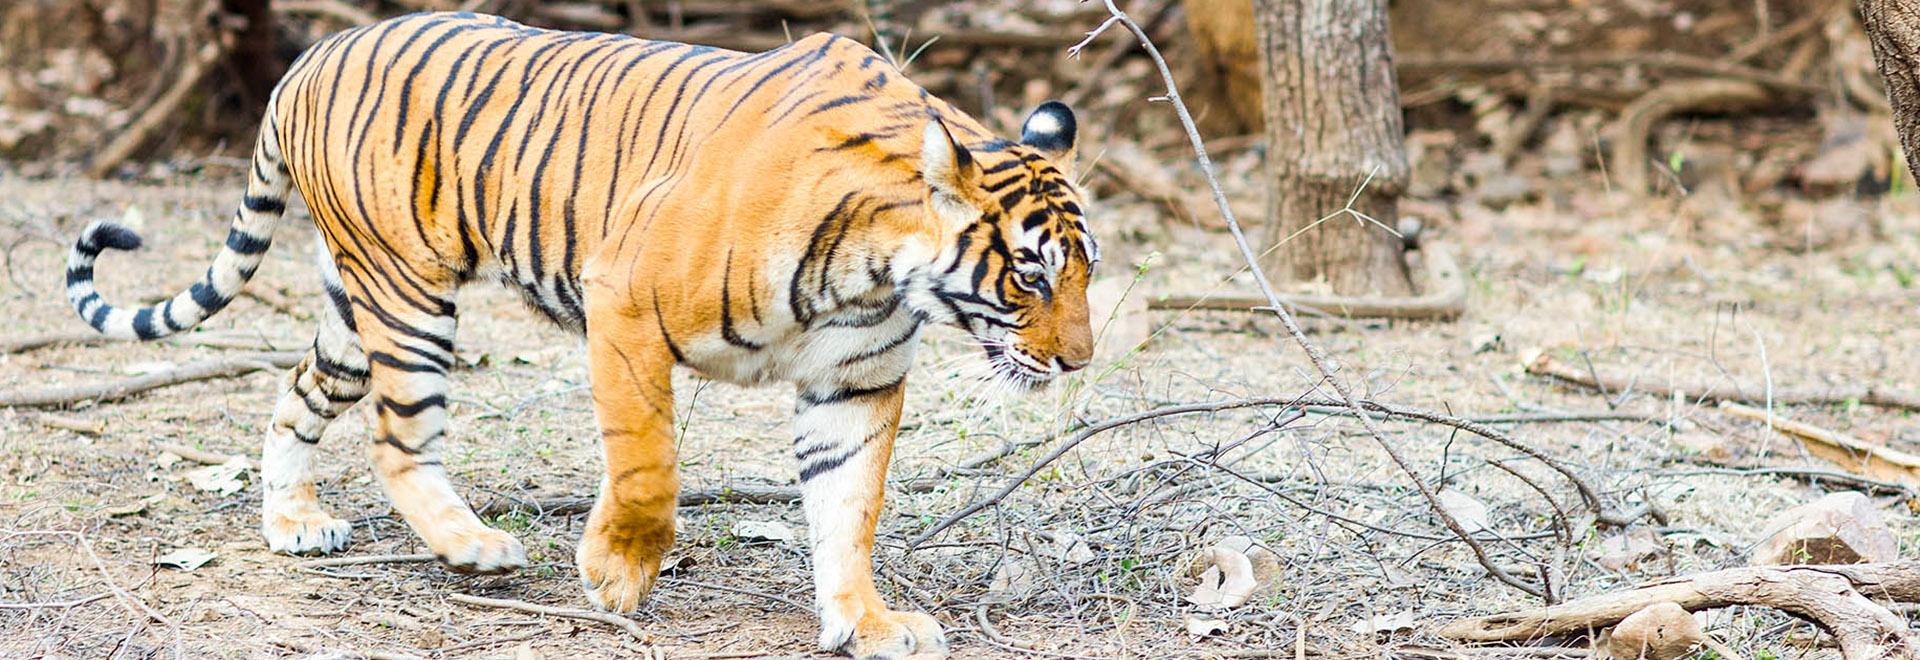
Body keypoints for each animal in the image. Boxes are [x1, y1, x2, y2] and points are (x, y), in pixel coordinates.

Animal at [63, 11, 1096, 658]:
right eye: (1031, 273)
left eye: (1084, 269)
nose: (1078, 360)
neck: (879, 270)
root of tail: (307, 59)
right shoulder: (625, 305)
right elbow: (648, 467)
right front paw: (615, 576)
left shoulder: (855, 383)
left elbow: (849, 510)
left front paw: (867, 623)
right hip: (408, 295)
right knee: (399, 437)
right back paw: (472, 547)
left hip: (353, 308)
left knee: (297, 394)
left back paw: (293, 524)